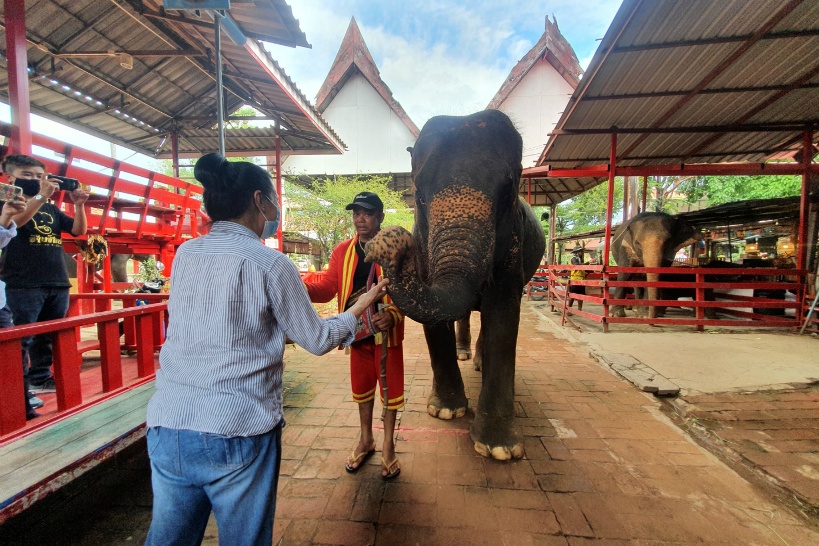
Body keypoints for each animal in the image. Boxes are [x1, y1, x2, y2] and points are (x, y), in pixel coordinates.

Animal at [366, 110, 544, 460]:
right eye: (419, 197)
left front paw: (499, 449)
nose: (390, 240)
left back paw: (479, 363)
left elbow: (503, 315)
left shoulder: (513, 246)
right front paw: (446, 412)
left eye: (508, 193)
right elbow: (435, 319)